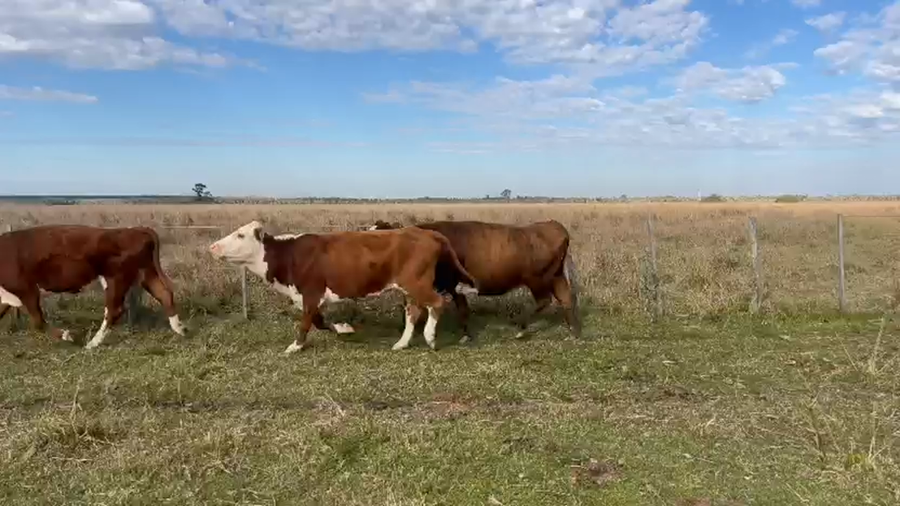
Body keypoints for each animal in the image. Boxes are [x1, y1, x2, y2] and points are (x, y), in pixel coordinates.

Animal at [0, 224, 187, 349]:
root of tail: (135, 230)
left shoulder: (26, 288)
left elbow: (38, 321)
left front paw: (68, 336)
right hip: (145, 273)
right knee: (164, 294)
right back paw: (179, 329)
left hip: (116, 278)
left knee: (114, 310)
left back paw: (92, 344)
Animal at [207, 220, 478, 353]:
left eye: (240, 235)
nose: (212, 247)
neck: (289, 255)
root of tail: (428, 233)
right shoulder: (308, 296)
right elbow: (319, 321)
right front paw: (344, 328)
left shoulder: (311, 292)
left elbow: (306, 323)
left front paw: (295, 346)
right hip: (409, 286)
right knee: (414, 311)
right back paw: (402, 343)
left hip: (416, 282)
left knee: (436, 303)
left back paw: (430, 338)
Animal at [367, 219, 581, 343]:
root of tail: (552, 225)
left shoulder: (452, 285)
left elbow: (461, 309)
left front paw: (465, 335)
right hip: (556, 277)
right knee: (566, 299)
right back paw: (574, 332)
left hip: (537, 280)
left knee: (545, 301)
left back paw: (521, 329)